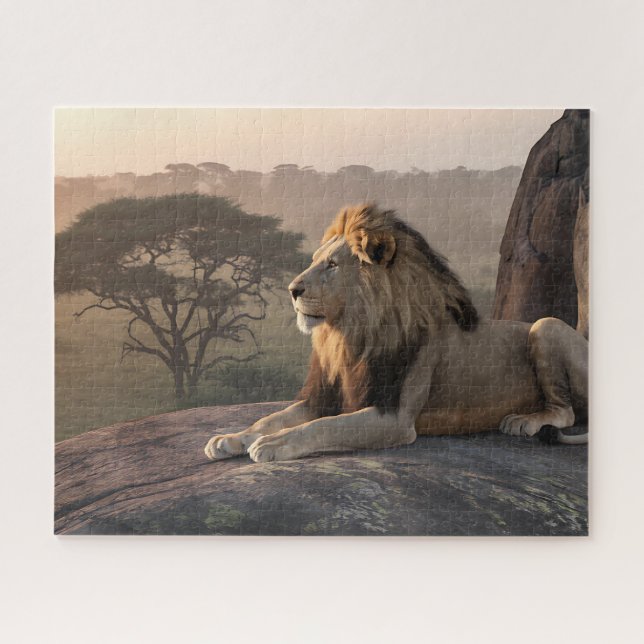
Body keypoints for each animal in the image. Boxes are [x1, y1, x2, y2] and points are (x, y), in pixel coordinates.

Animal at [205, 204, 588, 463]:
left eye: (332, 265)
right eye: (314, 260)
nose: (292, 289)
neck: (349, 334)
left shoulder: (395, 417)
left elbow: (322, 427)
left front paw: (273, 444)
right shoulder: (325, 397)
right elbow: (271, 418)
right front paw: (232, 438)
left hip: (546, 327)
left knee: (566, 412)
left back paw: (524, 421)